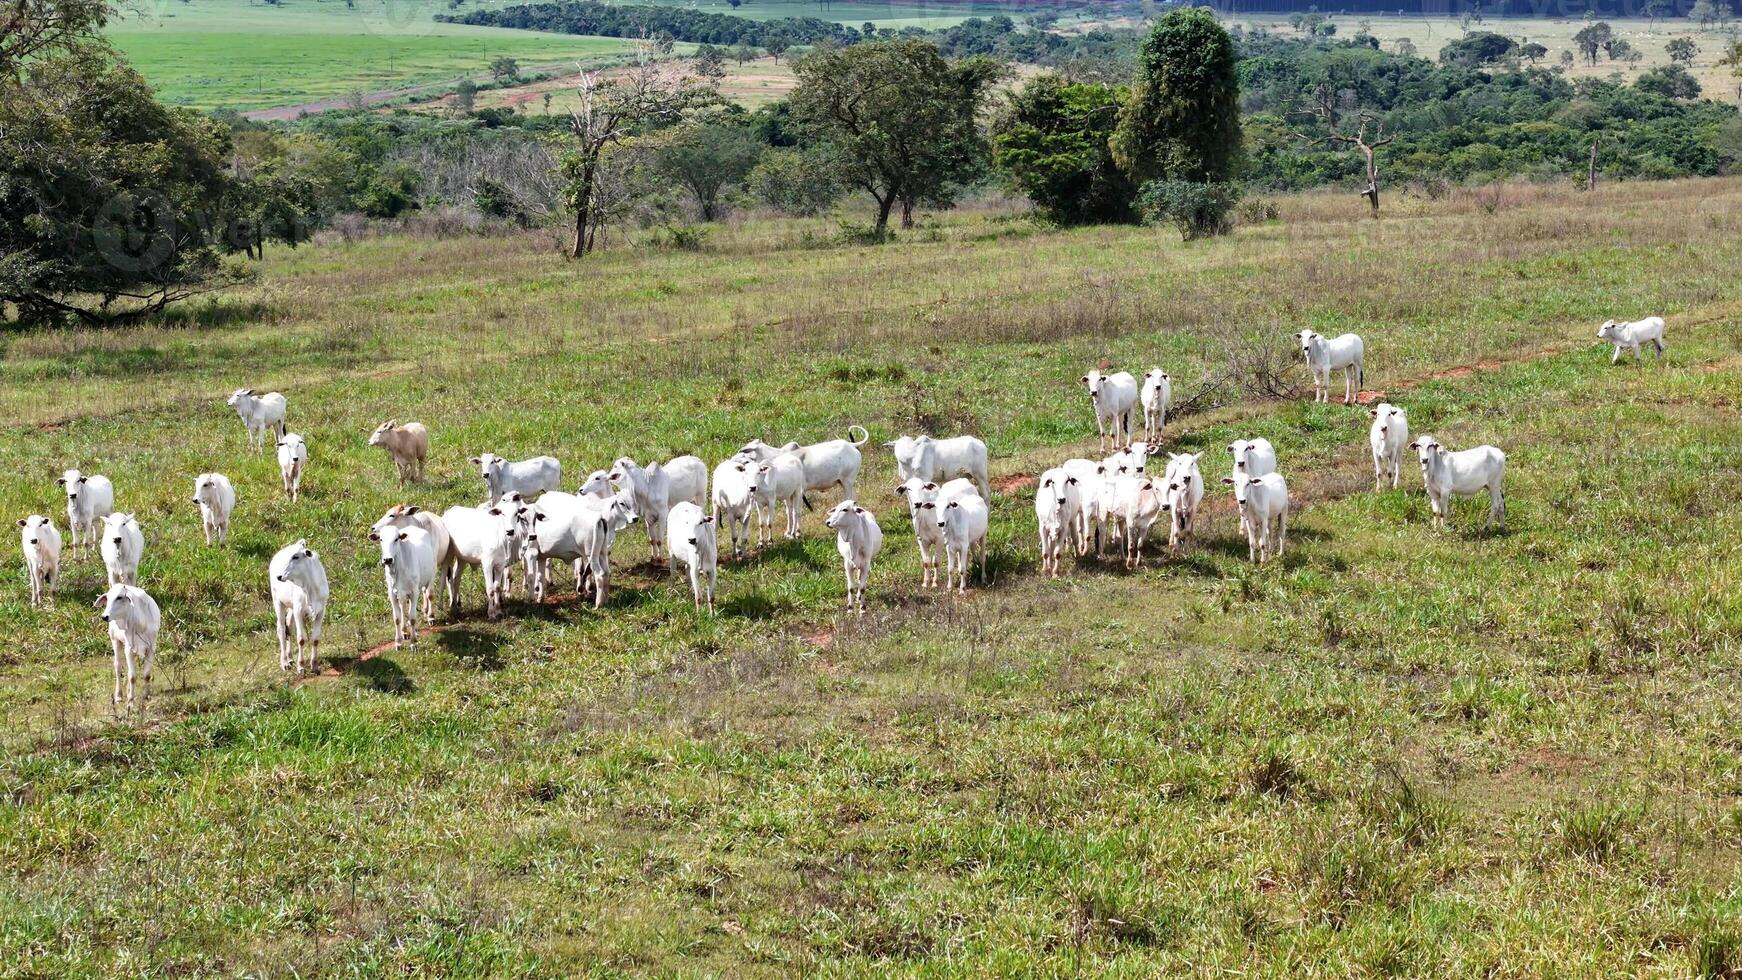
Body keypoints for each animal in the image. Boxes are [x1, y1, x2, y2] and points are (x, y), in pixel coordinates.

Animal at [93, 581, 160, 713]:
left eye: (119, 597)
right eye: (108, 598)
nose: (104, 616)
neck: (141, 623)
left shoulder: (151, 648)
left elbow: (146, 674)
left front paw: (146, 696)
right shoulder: (128, 649)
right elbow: (132, 677)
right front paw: (130, 704)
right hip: (116, 641)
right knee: (118, 667)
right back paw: (119, 696)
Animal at [268, 539, 329, 678]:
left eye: (296, 557)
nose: (279, 576)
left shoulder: (321, 611)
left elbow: (315, 639)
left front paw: (315, 666)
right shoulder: (298, 610)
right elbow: (301, 639)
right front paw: (301, 667)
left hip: (291, 606)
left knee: (289, 625)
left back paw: (290, 657)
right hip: (278, 601)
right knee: (281, 628)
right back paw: (285, 662)